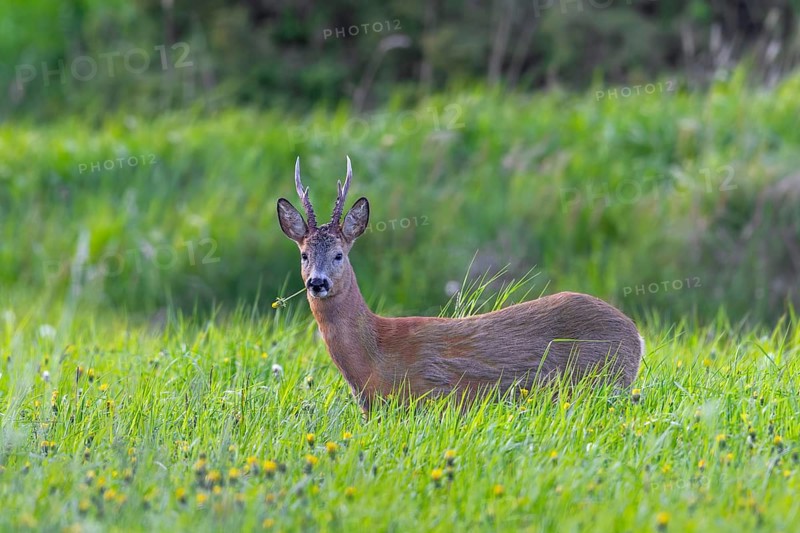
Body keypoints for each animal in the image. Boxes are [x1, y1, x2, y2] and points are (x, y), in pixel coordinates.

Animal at [277, 157, 644, 412]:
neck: (376, 354)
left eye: (339, 254)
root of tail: (636, 335)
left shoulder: (431, 394)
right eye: (304, 255)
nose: (317, 282)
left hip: (606, 379)